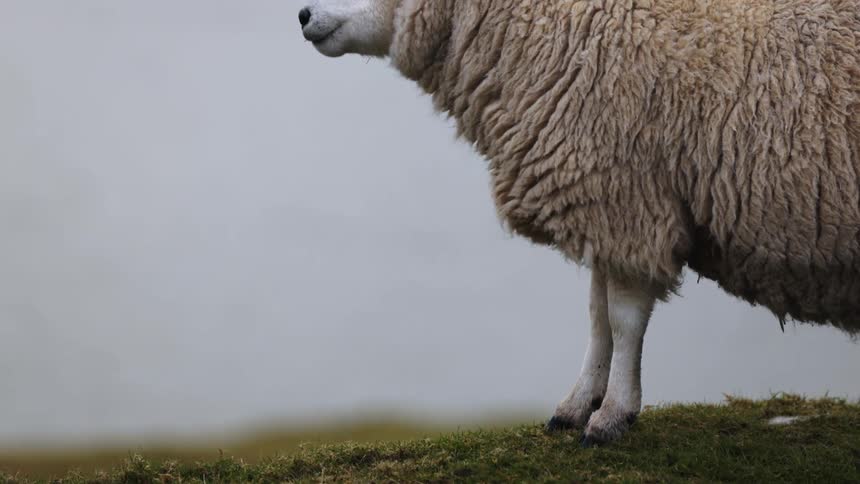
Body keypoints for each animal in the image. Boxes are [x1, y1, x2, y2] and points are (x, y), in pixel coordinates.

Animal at [298, 0, 860, 445]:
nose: (302, 14)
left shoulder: (628, 202)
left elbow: (624, 320)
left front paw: (611, 417)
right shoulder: (602, 207)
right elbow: (596, 318)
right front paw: (577, 405)